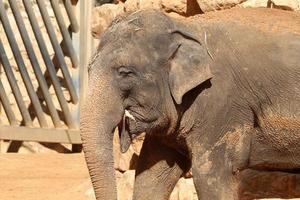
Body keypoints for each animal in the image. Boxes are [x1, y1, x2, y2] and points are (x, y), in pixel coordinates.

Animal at [79, 8, 300, 200]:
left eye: (125, 73)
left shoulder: (221, 104)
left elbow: (210, 175)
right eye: (88, 68)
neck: (185, 26)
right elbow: (150, 173)